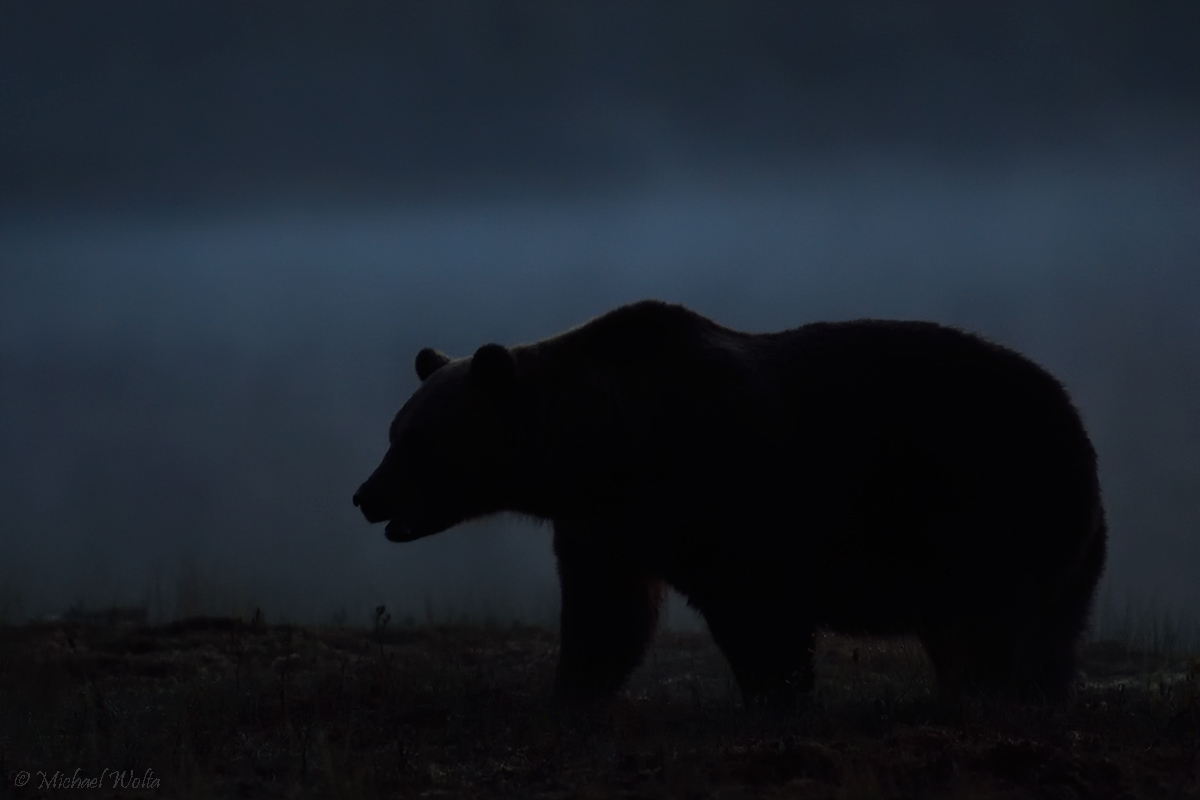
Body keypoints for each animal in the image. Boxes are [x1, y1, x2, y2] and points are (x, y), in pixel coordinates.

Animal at [352, 302, 1104, 705]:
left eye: (415, 440)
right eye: (394, 430)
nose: (364, 495)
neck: (605, 447)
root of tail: (1079, 427)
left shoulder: (728, 491)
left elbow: (760, 613)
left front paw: (777, 694)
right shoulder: (607, 525)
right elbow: (605, 614)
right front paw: (572, 691)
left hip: (988, 508)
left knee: (980, 628)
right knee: (1045, 637)